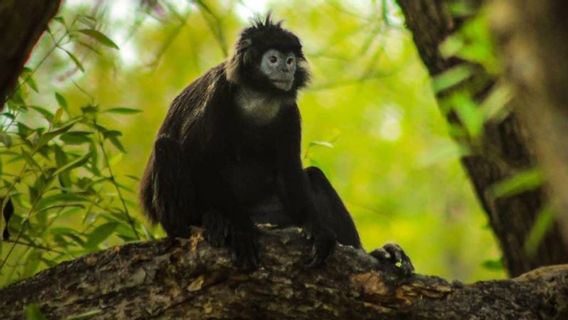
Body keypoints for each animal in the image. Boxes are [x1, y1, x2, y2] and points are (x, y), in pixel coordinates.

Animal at [138, 16, 412, 274]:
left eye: (290, 61)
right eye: (273, 59)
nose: (286, 70)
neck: (258, 95)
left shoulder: (289, 110)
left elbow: (289, 168)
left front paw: (318, 230)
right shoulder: (216, 95)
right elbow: (199, 158)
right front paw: (238, 227)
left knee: (314, 176)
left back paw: (379, 253)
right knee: (166, 147)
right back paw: (204, 221)